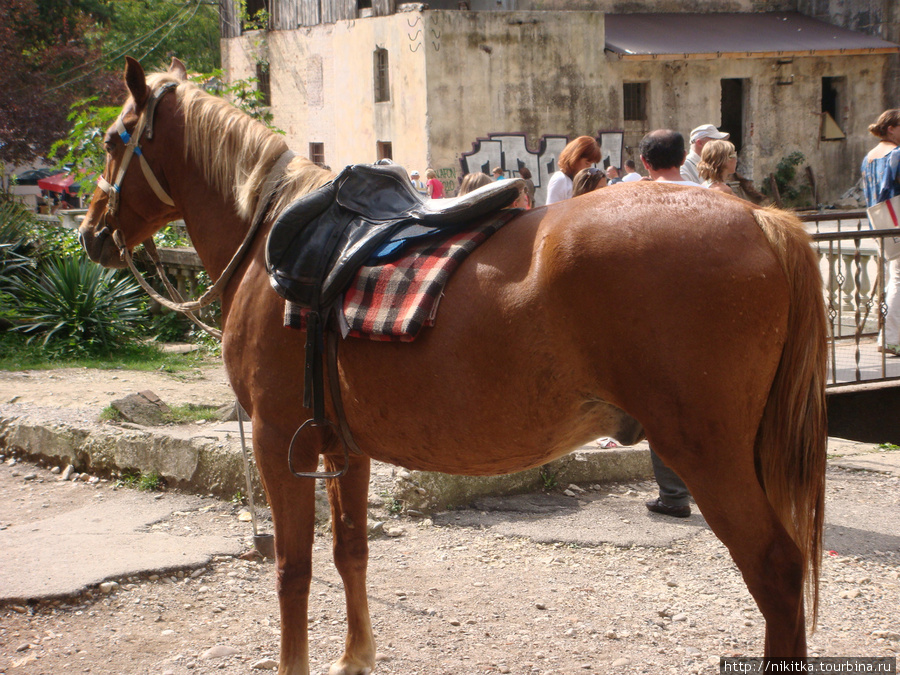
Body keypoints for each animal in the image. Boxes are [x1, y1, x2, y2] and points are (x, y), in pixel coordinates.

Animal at [81, 58, 828, 675]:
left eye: (116, 139)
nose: (91, 232)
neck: (275, 241)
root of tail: (762, 221)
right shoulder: (342, 445)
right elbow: (351, 548)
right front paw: (357, 656)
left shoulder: (275, 437)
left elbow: (293, 568)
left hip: (710, 454)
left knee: (777, 573)